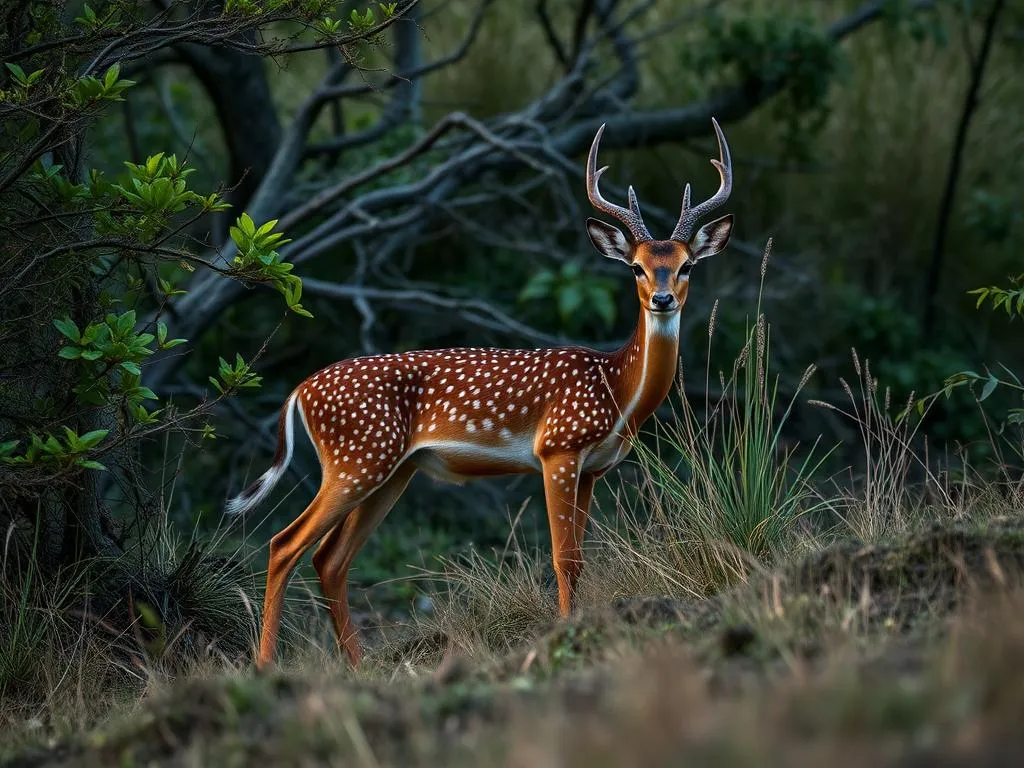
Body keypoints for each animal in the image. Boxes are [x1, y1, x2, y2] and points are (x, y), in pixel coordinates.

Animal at [227, 117, 733, 671]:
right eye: (636, 267)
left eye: (686, 265)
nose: (662, 298)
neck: (617, 389)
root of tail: (299, 390)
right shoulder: (557, 448)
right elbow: (562, 556)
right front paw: (562, 637)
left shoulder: (592, 468)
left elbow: (579, 557)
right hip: (357, 457)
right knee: (284, 543)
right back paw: (265, 665)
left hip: (390, 470)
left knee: (329, 558)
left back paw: (359, 667)